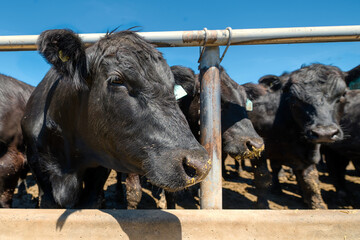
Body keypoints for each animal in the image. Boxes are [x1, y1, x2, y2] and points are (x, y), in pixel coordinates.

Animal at [245, 63, 354, 208]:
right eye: (294, 99)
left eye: (343, 94)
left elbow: (311, 181)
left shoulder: (309, 154)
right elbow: (262, 178)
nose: (325, 133)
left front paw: (317, 205)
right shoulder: (257, 150)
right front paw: (262, 206)